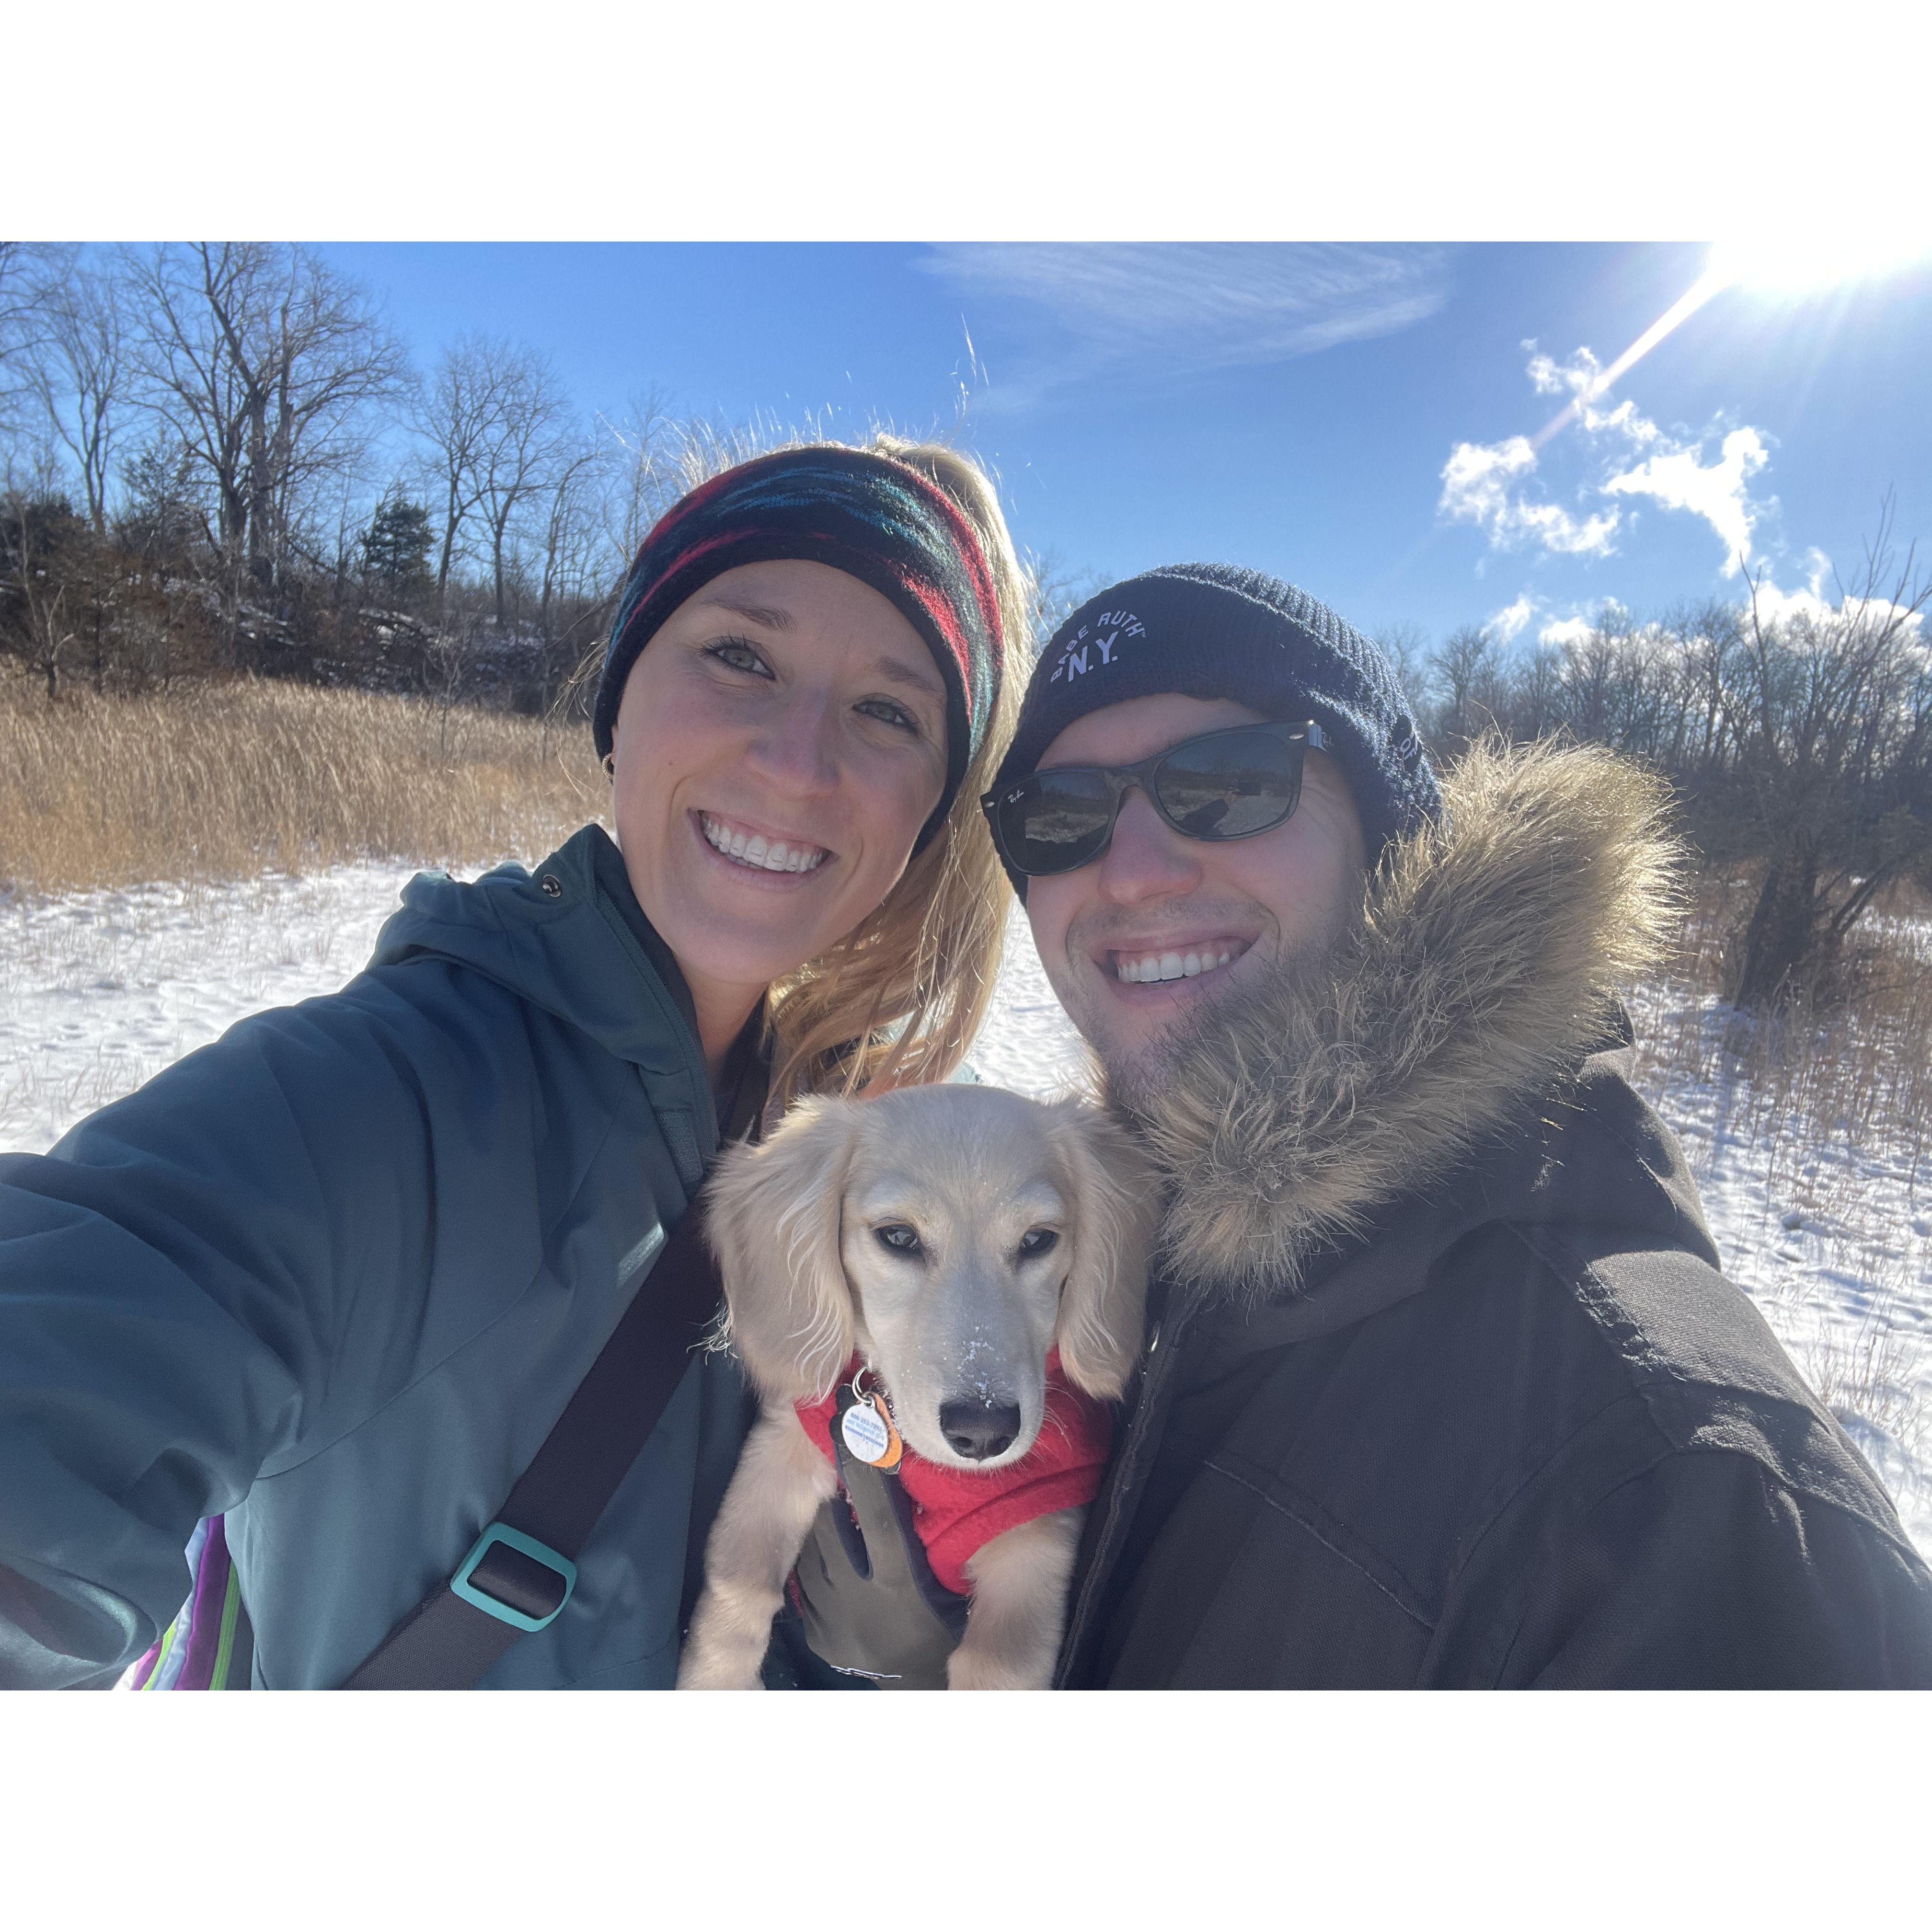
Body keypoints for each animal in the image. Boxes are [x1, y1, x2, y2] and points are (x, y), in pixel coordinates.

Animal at [684, 1090, 1143, 1692]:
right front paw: (712, 1679)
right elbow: (739, 1585)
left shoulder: (1035, 1542)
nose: (983, 1433)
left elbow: (996, 1670)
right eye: (899, 1238)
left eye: (1038, 1240)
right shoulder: (783, 1451)